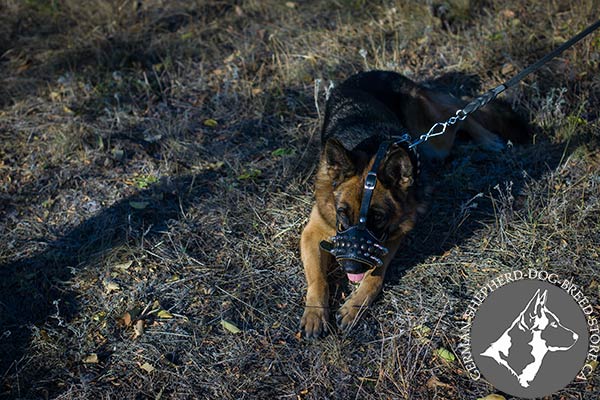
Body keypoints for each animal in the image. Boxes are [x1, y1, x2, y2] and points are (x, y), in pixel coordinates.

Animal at [298, 71, 524, 338]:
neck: (373, 154)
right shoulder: (312, 233)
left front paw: (355, 305)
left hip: (434, 139)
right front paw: (315, 313)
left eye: (377, 217)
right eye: (342, 213)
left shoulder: (391, 237)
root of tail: (376, 72)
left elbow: (375, 278)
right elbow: (318, 279)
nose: (351, 267)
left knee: (460, 114)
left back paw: (487, 139)